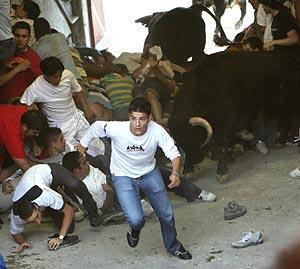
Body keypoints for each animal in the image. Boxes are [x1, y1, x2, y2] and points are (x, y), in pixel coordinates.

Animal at [168, 49, 300, 181]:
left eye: (193, 137)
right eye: (179, 141)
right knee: (284, 118)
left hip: (290, 99)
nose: (196, 159)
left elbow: (223, 141)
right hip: (274, 103)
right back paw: (280, 142)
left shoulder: (230, 116)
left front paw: (222, 172)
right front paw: (188, 170)